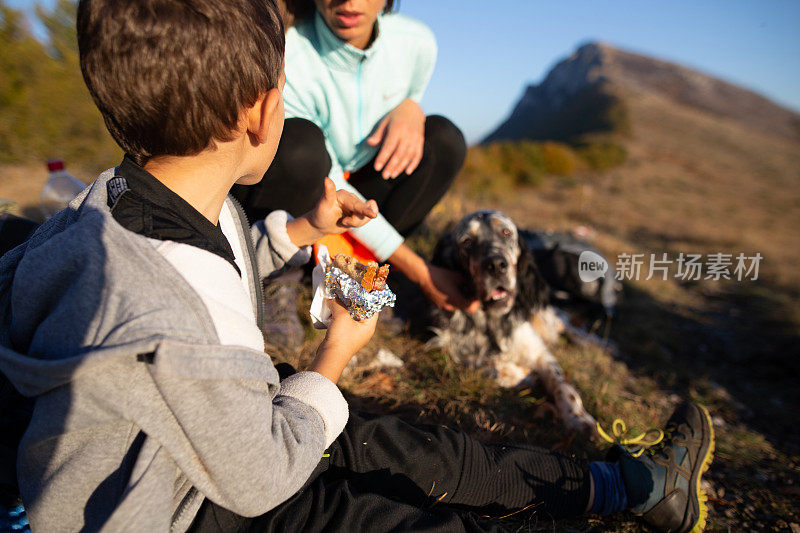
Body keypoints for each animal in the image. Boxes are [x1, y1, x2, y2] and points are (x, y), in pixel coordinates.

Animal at [432, 210, 592, 434]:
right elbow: (488, 367)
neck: (494, 321)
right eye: (467, 242)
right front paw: (525, 375)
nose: (496, 266)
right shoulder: (452, 346)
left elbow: (563, 384)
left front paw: (578, 419)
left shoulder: (539, 352)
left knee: (566, 323)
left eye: (506, 232)